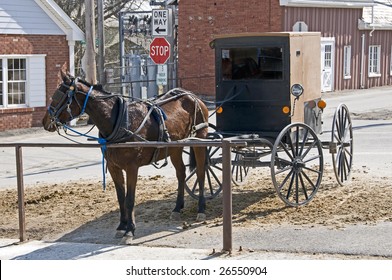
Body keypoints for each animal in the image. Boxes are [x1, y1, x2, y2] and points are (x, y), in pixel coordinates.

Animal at [41, 71, 210, 244]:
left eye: (58, 96)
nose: (45, 122)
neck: (119, 121)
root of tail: (192, 96)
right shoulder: (113, 166)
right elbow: (121, 197)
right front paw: (122, 226)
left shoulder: (131, 167)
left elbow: (129, 199)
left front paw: (130, 231)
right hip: (175, 147)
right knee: (181, 173)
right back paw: (177, 208)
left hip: (200, 139)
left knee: (201, 173)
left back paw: (201, 209)